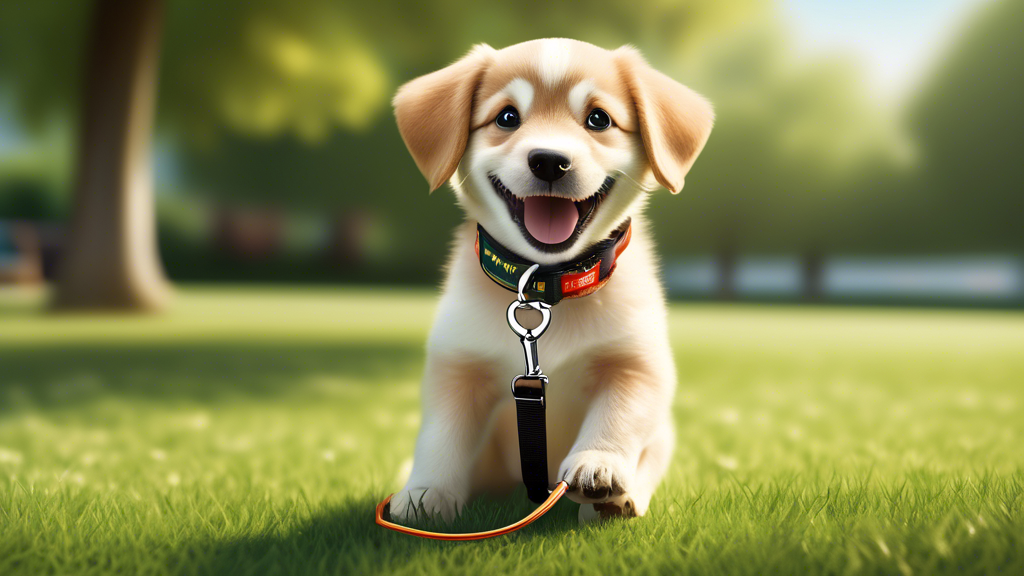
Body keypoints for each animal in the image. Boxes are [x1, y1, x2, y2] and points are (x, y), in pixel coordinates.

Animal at [389, 35, 712, 520]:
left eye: (598, 119)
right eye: (507, 117)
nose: (549, 161)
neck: (547, 283)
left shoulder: (636, 363)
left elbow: (619, 413)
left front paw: (599, 465)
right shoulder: (459, 364)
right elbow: (441, 434)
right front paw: (428, 491)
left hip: (663, 436)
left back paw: (620, 499)